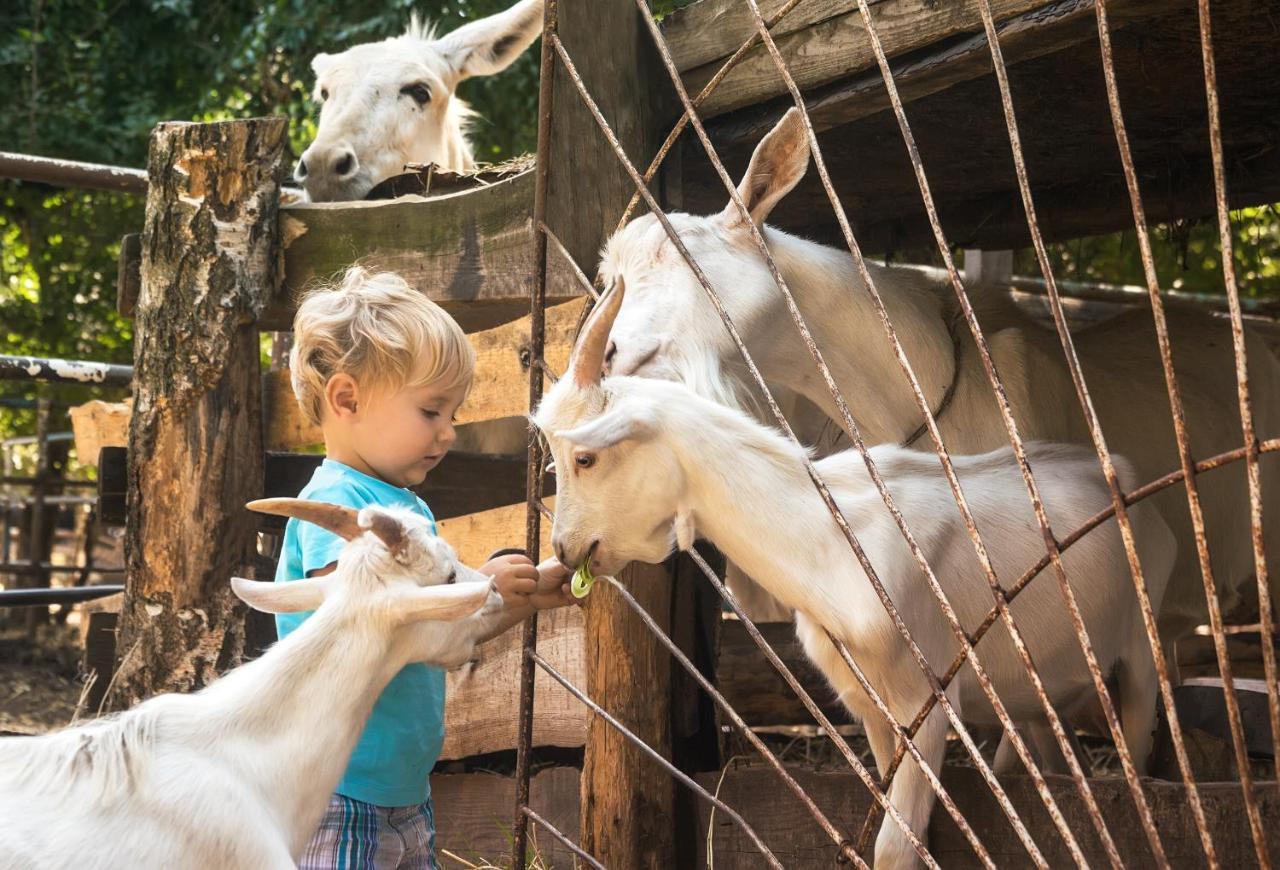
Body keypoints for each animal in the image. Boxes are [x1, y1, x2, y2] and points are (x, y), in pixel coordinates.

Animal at [535, 284, 1172, 864]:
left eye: (584, 457)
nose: (566, 550)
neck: (833, 540)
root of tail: (1118, 475)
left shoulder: (926, 703)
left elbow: (895, 848)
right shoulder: (875, 710)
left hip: (1142, 649)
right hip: (1032, 689)